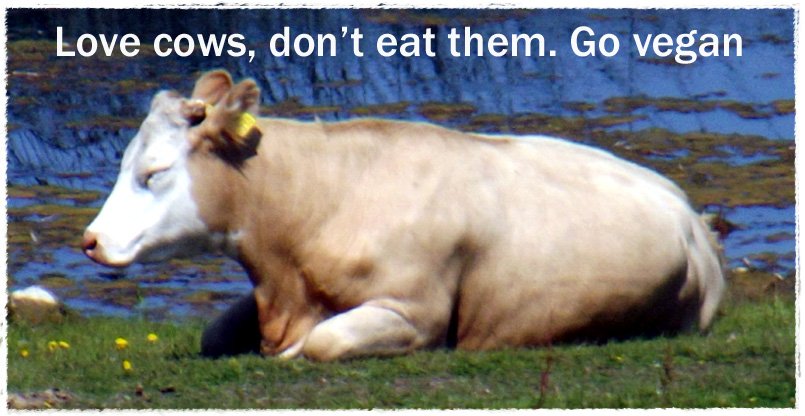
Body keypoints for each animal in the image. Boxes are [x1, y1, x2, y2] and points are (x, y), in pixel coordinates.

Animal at [82, 69, 726, 361]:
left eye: (154, 172)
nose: (90, 240)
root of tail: (689, 212)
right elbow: (215, 332)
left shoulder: (414, 311)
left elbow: (321, 344)